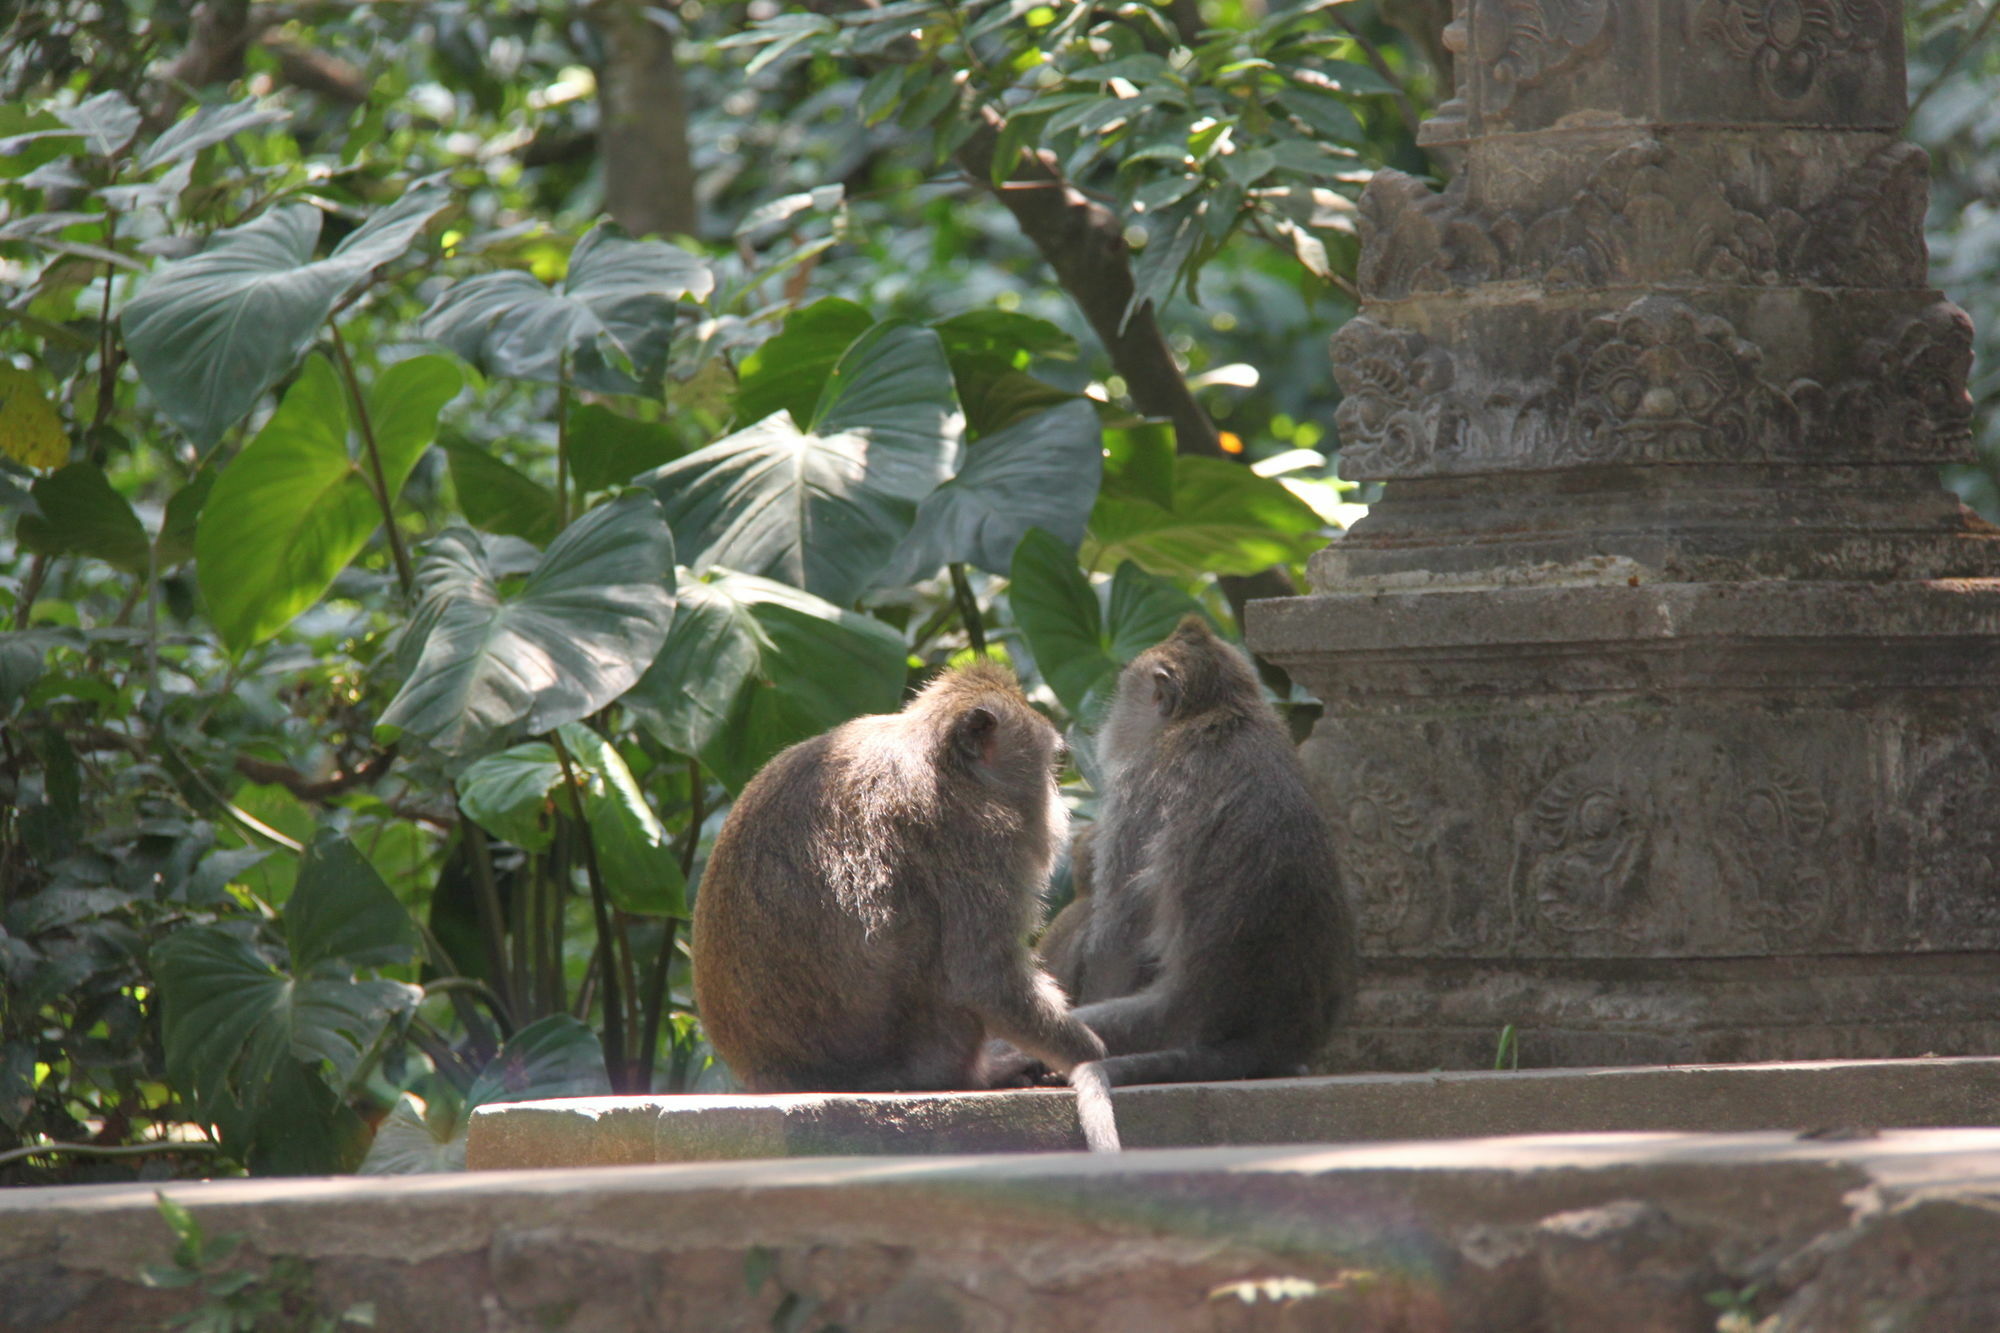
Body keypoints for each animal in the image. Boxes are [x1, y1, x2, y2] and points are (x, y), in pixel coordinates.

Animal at [696, 652, 1120, 1120]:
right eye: (1047, 766)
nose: (1056, 799)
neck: (938, 756)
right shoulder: (977, 835)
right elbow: (984, 977)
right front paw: (1089, 1053)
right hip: (923, 1053)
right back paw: (978, 1075)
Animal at [1032, 616, 1360, 1096]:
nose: (1107, 718)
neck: (1217, 712)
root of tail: (1266, 1038)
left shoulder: (1139, 788)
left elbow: (1113, 941)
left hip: (1143, 1027)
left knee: (1088, 914)